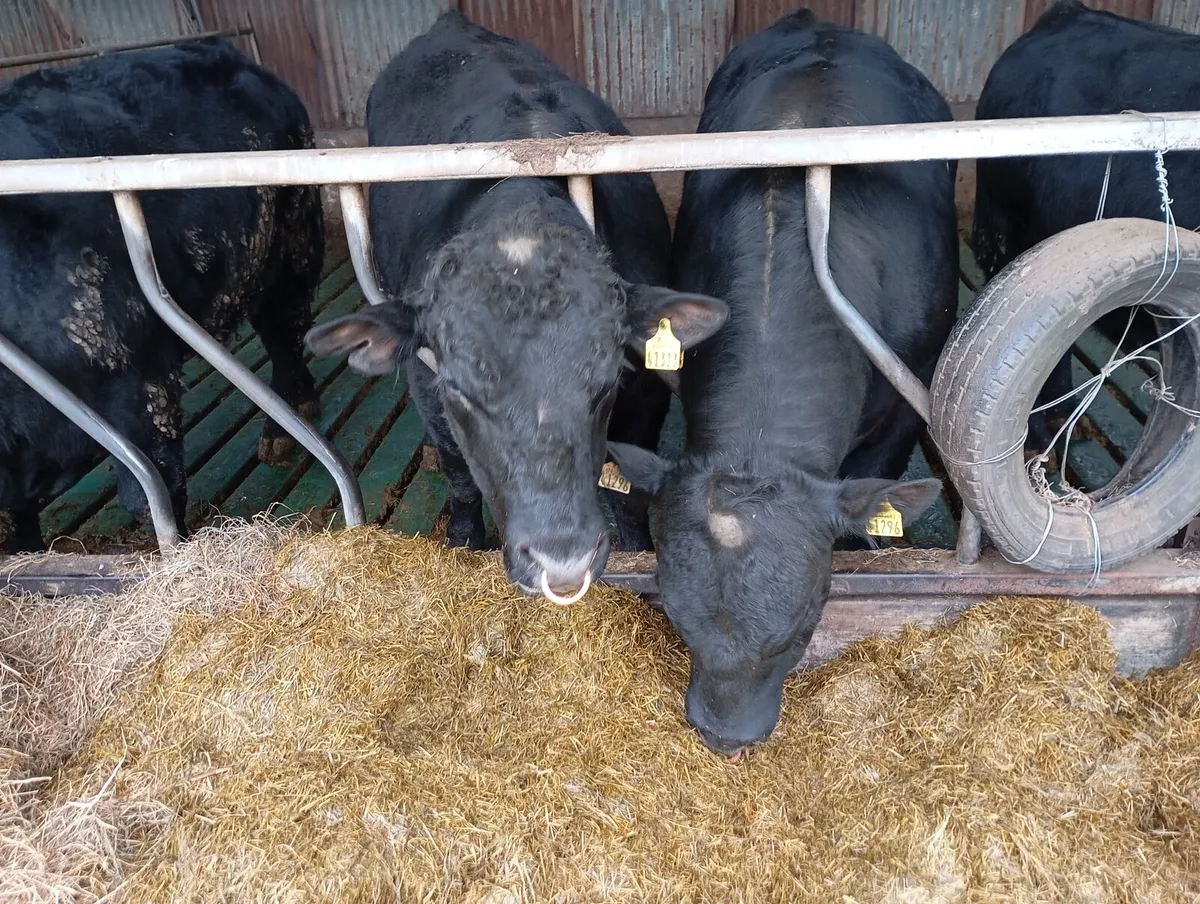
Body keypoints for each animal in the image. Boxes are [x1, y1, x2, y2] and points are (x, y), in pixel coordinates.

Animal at [0, 39, 324, 554]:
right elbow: (16, 525)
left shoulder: (137, 376)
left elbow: (152, 496)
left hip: (291, 245)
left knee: (284, 331)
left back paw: (281, 431)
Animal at [305, 10, 728, 598]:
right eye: (461, 389)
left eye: (607, 383)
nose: (562, 561)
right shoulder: (425, 380)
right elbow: (461, 477)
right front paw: (463, 543)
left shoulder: (644, 392)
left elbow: (626, 493)